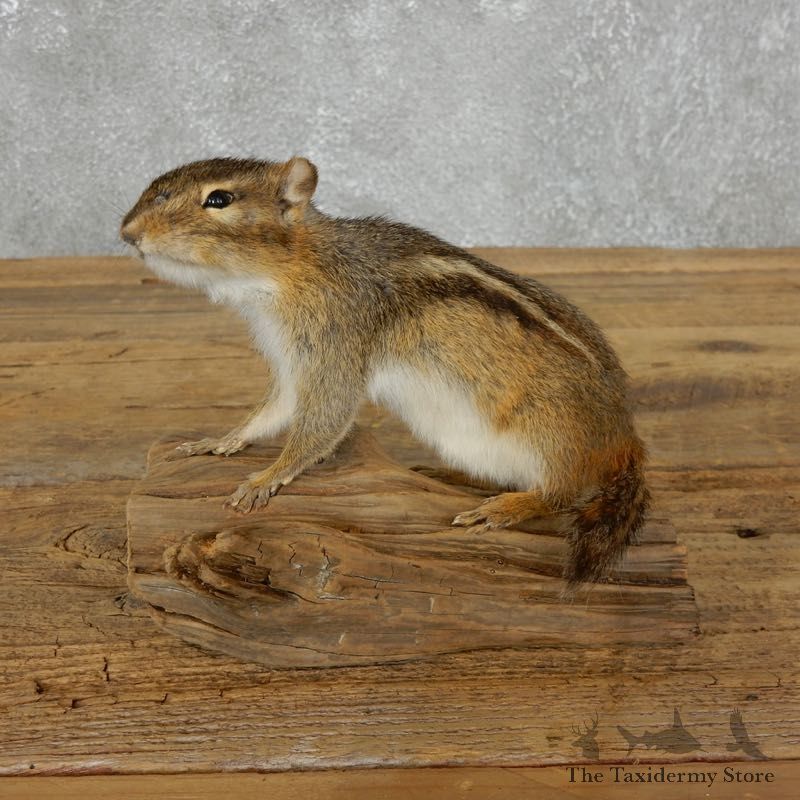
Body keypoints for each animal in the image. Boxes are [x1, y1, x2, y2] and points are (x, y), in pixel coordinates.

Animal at [121, 156, 650, 587]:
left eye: (219, 199)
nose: (127, 233)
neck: (297, 265)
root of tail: (624, 438)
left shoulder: (336, 347)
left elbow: (322, 420)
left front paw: (268, 476)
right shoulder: (294, 362)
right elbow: (272, 410)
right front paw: (220, 441)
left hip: (550, 435)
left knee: (561, 493)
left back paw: (506, 507)